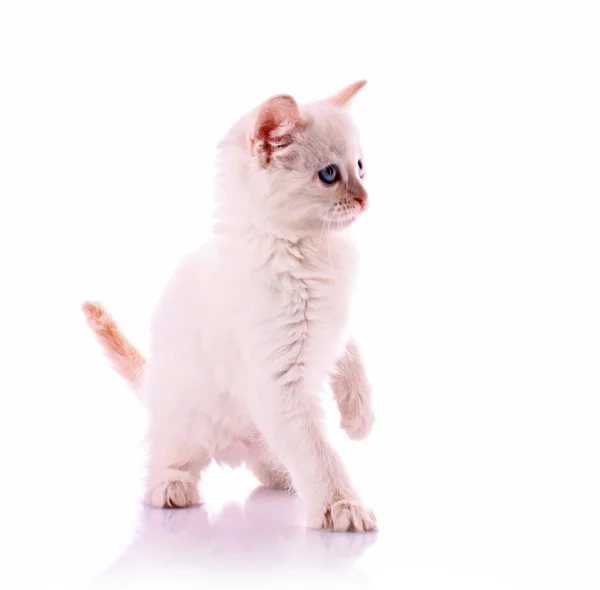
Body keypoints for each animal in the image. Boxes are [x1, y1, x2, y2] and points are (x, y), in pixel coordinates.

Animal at [84, 81, 376, 536]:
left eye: (361, 167)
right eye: (330, 174)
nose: (365, 199)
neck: (308, 248)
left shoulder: (336, 324)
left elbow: (352, 356)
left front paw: (360, 418)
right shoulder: (280, 383)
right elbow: (319, 452)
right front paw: (341, 505)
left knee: (269, 463)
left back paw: (284, 475)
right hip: (186, 417)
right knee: (164, 459)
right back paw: (172, 486)